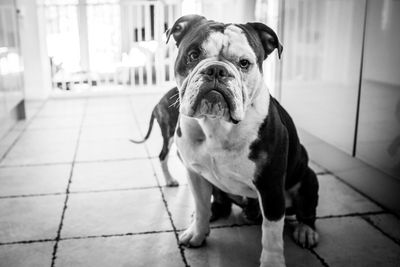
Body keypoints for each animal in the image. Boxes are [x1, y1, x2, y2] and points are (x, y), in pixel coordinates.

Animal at [167, 15, 320, 267]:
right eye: (194, 55)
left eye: (244, 63)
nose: (216, 69)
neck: (216, 125)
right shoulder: (195, 174)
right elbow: (200, 206)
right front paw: (197, 233)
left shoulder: (270, 186)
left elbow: (271, 233)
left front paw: (272, 262)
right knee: (219, 203)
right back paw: (212, 214)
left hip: (307, 178)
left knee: (306, 210)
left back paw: (306, 230)